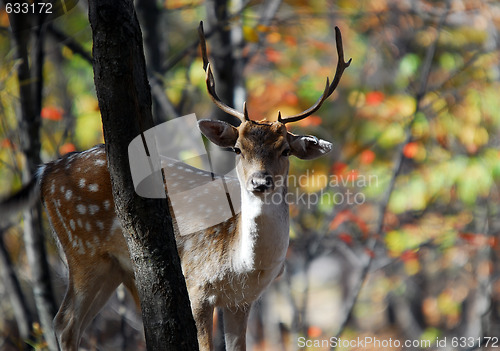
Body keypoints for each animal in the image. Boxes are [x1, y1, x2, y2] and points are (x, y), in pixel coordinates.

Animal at [0, 23, 352, 350]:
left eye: (285, 150)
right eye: (238, 149)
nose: (260, 181)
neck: (244, 266)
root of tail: (45, 170)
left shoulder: (242, 301)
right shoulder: (196, 284)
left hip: (115, 267)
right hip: (82, 249)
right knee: (64, 322)